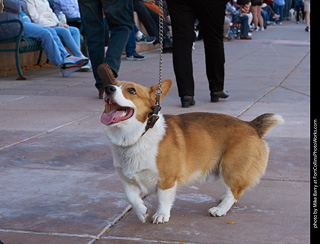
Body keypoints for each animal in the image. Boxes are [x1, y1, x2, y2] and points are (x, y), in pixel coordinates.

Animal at [99, 65, 284, 225]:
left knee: (235, 190)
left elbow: (163, 199)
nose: (108, 88)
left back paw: (220, 209)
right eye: (114, 84)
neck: (139, 135)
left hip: (230, 167)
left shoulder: (167, 179)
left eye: (131, 90)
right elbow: (132, 198)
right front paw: (142, 212)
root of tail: (252, 125)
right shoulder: (128, 181)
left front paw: (161, 215)